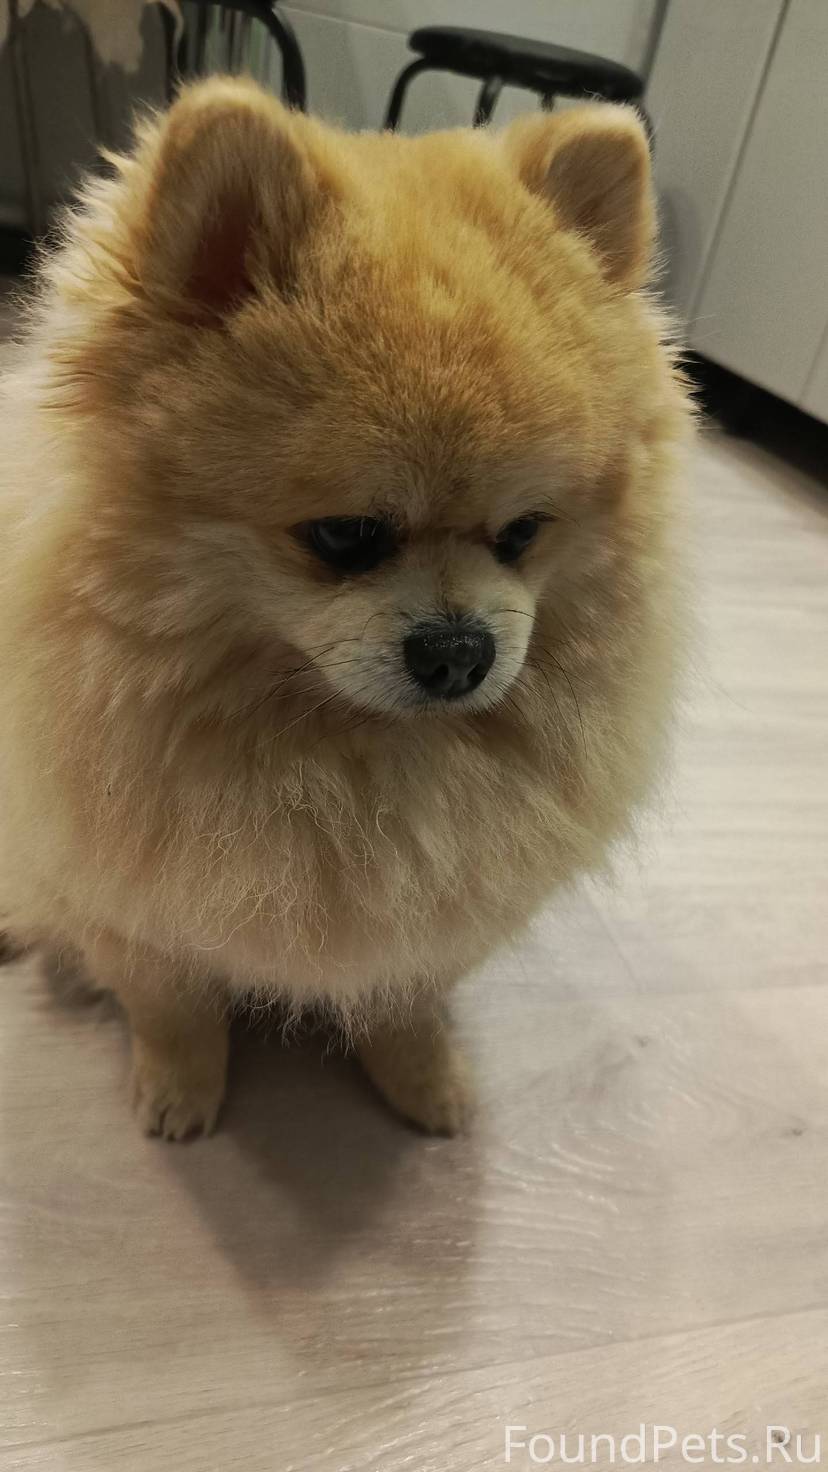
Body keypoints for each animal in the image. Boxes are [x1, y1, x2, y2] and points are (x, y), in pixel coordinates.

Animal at [0, 79, 690, 1139]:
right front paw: (181, 1091)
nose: (460, 650)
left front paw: (422, 1079)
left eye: (524, 532)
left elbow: (406, 1001)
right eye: (344, 537)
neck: (338, 753)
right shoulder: (124, 902)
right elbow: (172, 1004)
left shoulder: (431, 920)